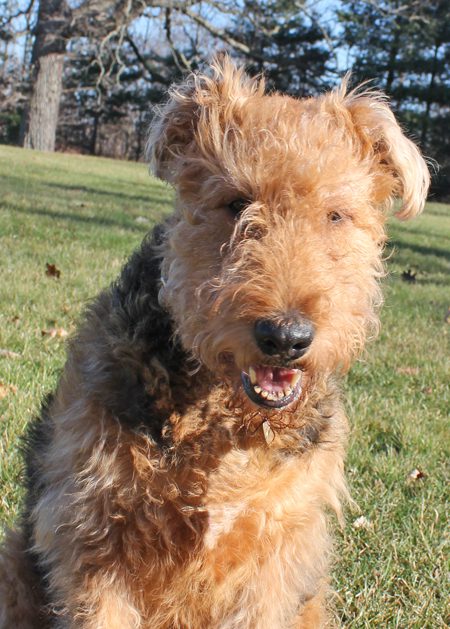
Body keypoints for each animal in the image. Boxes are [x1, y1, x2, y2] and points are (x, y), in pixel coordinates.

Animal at [0, 56, 428, 624]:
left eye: (335, 214)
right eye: (235, 202)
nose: (285, 337)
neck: (223, 427)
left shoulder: (273, 559)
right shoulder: (92, 545)